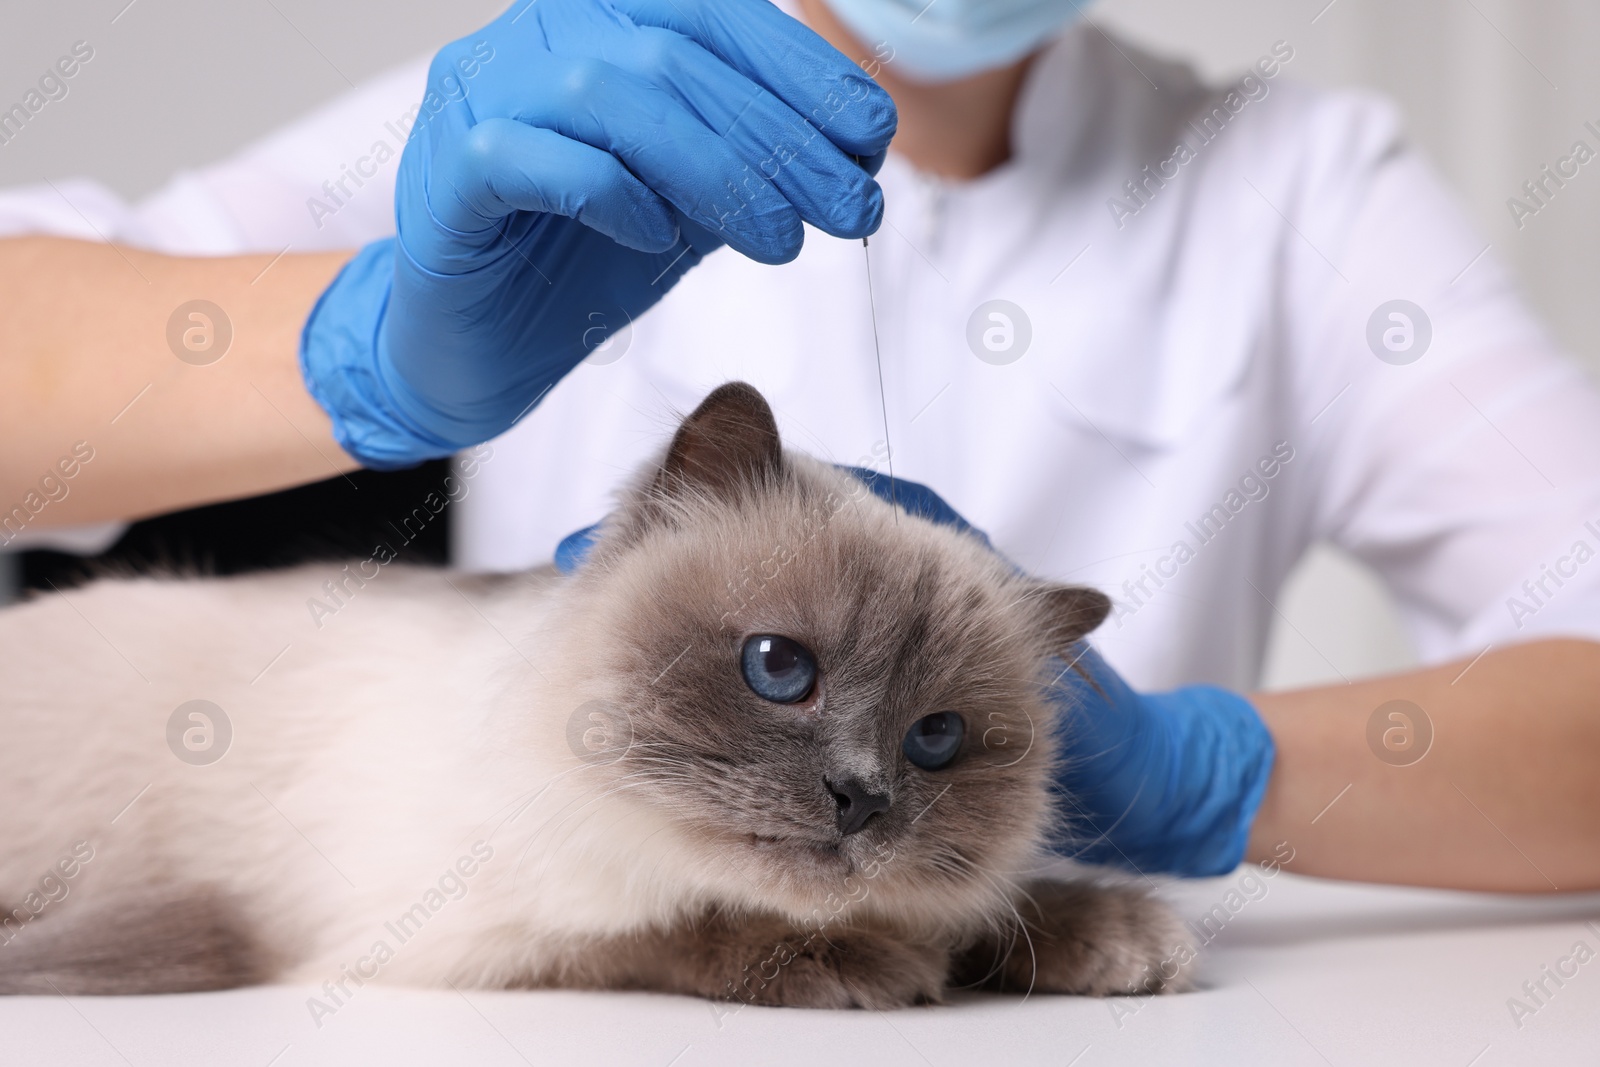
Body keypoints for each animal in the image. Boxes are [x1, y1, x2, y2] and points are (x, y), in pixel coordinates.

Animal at [0, 382, 1190, 1011]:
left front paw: (1126, 938)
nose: (860, 796)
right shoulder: (462, 937)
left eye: (935, 739)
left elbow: (997, 907)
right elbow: (676, 928)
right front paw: (871, 965)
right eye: (778, 668)